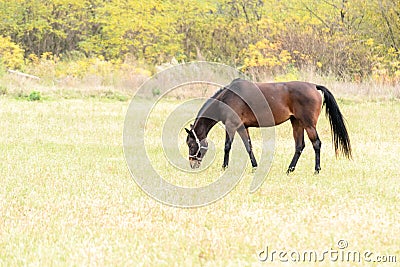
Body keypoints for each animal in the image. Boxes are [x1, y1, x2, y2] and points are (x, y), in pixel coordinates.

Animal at [184, 78, 350, 174]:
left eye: (191, 144)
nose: (192, 164)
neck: (227, 98)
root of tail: (314, 86)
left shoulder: (231, 126)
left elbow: (227, 146)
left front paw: (224, 167)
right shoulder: (242, 127)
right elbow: (248, 146)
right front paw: (255, 167)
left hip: (308, 124)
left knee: (316, 144)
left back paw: (316, 170)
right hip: (296, 123)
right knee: (299, 146)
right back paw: (289, 170)